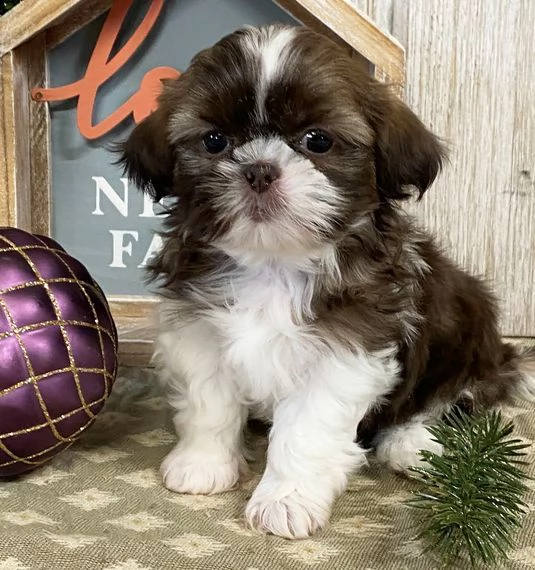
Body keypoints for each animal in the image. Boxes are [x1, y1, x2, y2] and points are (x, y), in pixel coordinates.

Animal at [118, 23, 535, 536]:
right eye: (214, 141)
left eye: (317, 141)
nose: (259, 169)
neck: (273, 262)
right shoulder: (198, 327)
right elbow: (208, 400)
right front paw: (203, 463)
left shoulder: (348, 345)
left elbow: (306, 428)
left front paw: (286, 500)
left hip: (464, 328)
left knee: (454, 397)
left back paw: (413, 443)